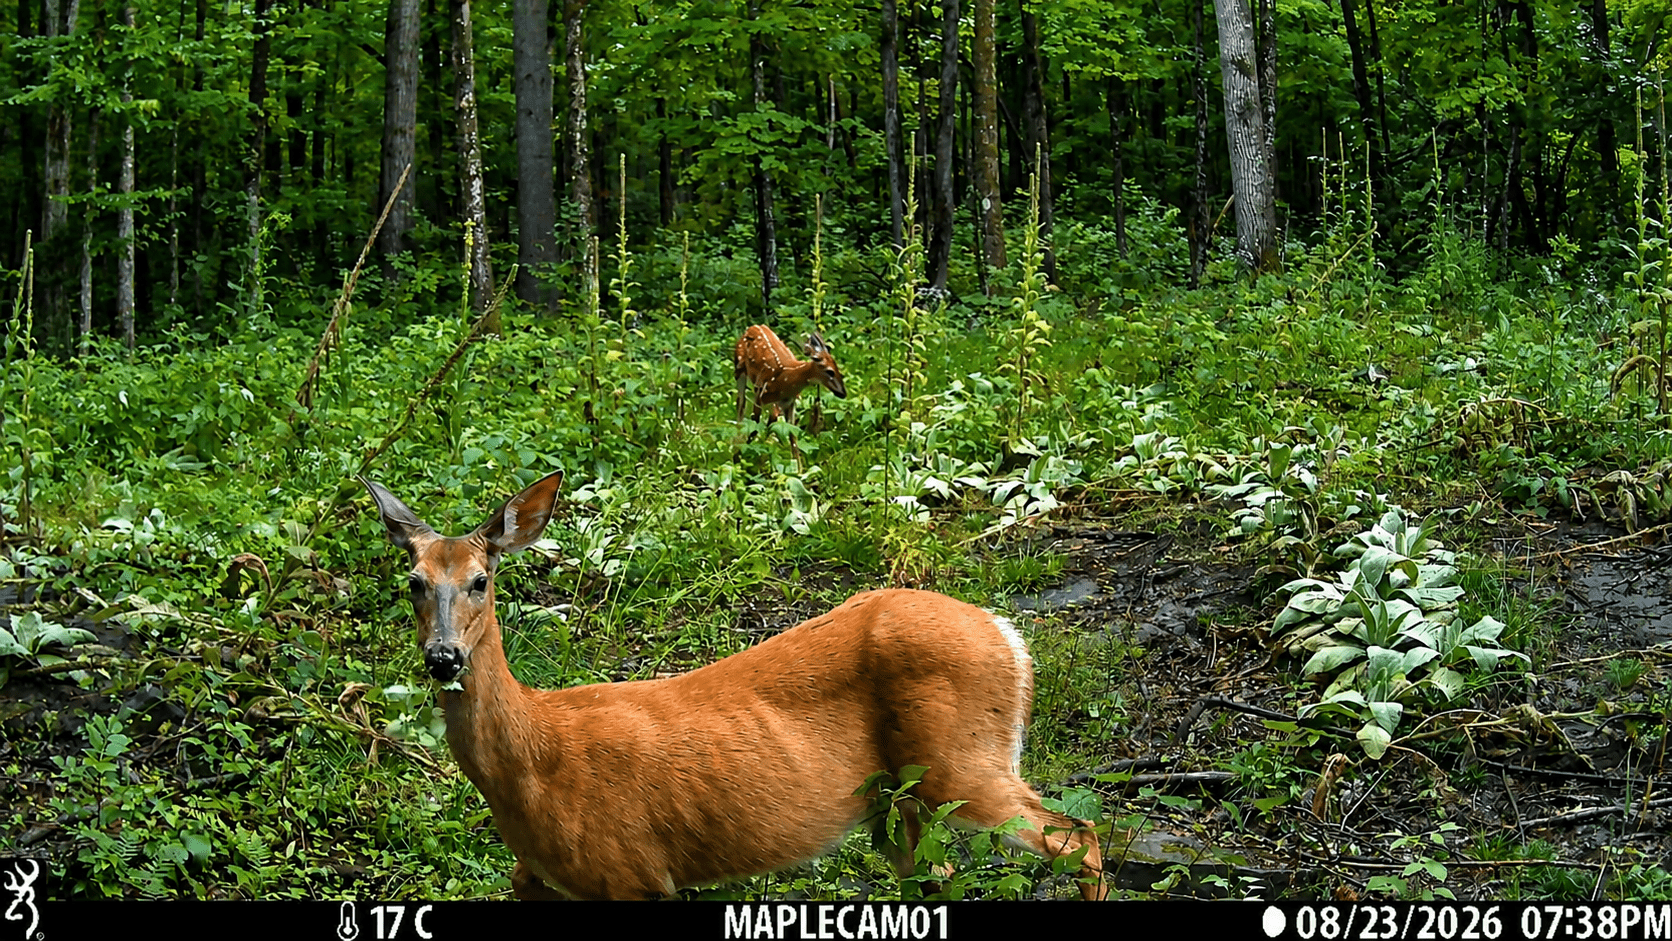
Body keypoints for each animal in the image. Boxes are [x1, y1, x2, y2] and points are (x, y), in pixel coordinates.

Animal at [362, 470, 1107, 901]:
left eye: (480, 581)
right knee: (938, 876)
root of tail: (1008, 635)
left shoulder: (633, 873)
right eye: (414, 583)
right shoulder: (537, 882)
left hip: (961, 760)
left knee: (1079, 836)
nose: (444, 657)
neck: (532, 763)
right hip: (902, 800)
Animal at [734, 325, 847, 461]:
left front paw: (797, 466)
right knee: (741, 403)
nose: (843, 393)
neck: (787, 379)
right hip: (739, 368)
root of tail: (752, 327)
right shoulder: (761, 395)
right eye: (830, 371)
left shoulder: (789, 402)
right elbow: (755, 426)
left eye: (838, 368)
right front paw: (739, 456)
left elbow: (793, 436)